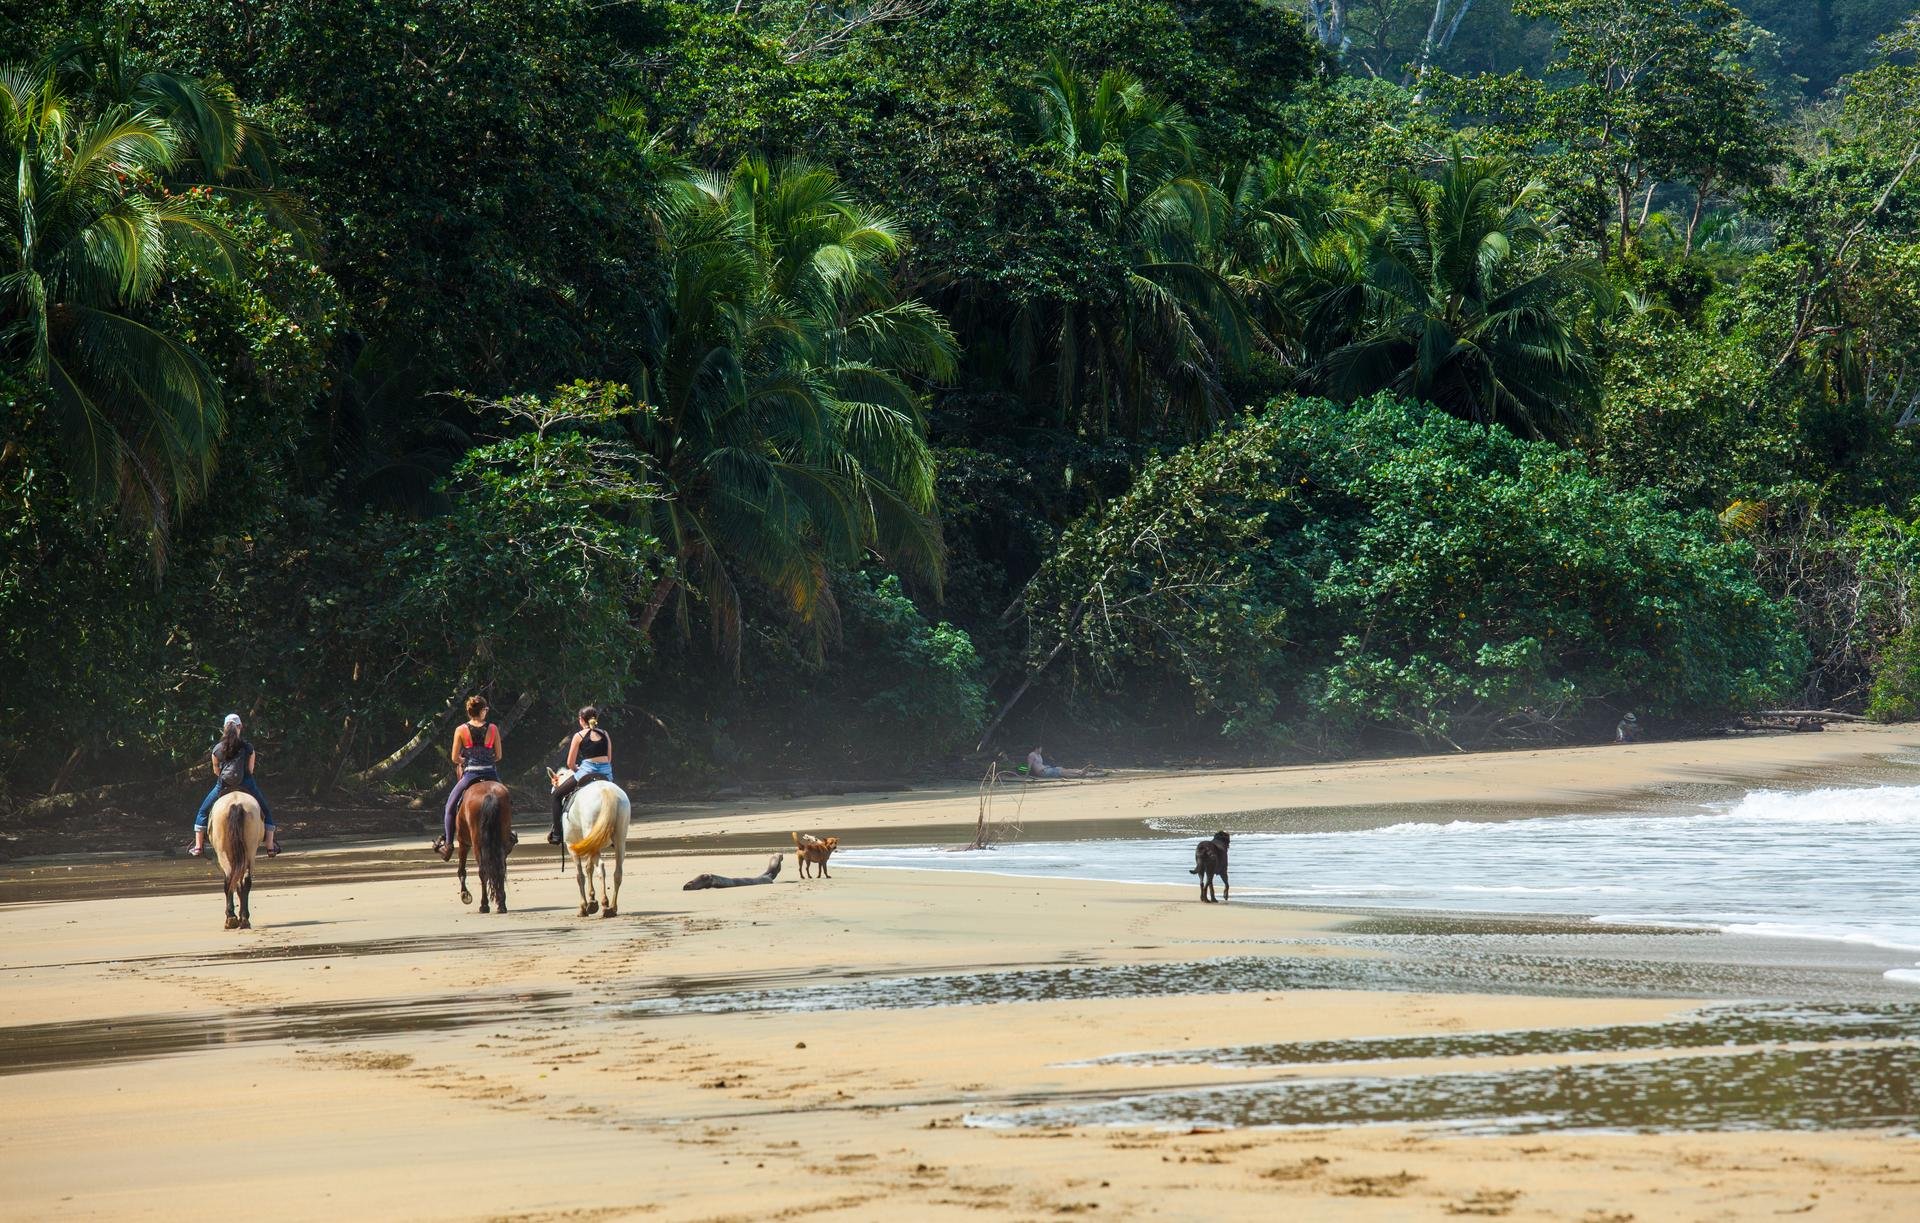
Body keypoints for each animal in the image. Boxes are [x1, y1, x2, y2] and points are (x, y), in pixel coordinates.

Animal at [207, 791, 263, 925]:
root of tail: (236, 803)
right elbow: (239, 884)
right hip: (250, 851)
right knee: (245, 880)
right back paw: (244, 918)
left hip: (222, 853)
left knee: (228, 880)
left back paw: (230, 917)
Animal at [451, 775, 510, 910]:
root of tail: (490, 794)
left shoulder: (463, 842)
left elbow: (461, 870)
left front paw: (465, 894)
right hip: (502, 837)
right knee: (500, 868)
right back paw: (501, 904)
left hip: (477, 842)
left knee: (483, 871)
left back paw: (484, 905)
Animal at [549, 771, 629, 913]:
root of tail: (605, 790)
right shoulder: (590, 844)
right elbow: (589, 868)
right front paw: (592, 900)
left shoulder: (571, 846)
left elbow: (580, 875)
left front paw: (584, 906)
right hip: (620, 838)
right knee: (618, 872)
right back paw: (613, 907)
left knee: (601, 867)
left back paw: (605, 903)